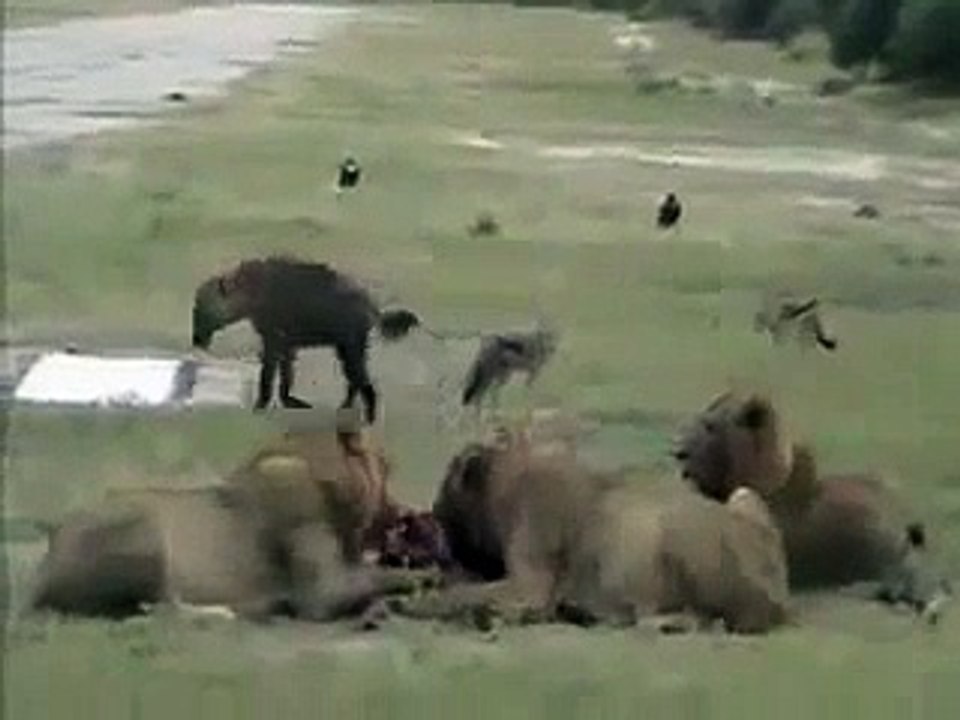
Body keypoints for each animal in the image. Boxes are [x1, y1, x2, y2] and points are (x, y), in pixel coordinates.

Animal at [397, 428, 790, 634]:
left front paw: (411, 604)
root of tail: (779, 599)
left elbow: (462, 594)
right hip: (744, 495)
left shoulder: (528, 584)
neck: (506, 481)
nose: (434, 514)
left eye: (448, 494)